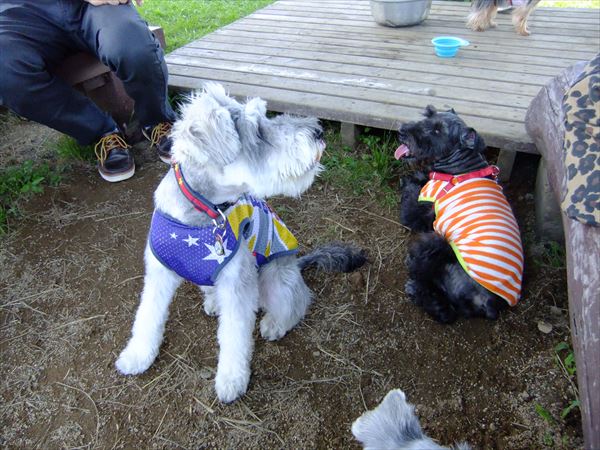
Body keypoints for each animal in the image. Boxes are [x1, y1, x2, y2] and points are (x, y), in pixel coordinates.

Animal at [115, 83, 366, 403]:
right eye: (258, 129)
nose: (318, 131)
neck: (201, 214)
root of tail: (297, 263)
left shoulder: (238, 284)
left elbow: (234, 335)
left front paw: (231, 379)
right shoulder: (159, 274)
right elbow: (147, 315)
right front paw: (137, 356)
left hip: (274, 277)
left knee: (298, 300)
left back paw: (275, 323)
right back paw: (213, 302)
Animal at [396, 105, 523, 324]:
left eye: (438, 130)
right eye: (428, 114)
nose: (402, 131)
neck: (460, 169)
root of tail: (489, 305)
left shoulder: (418, 216)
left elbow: (411, 200)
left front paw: (412, 180)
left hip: (435, 243)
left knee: (443, 309)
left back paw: (415, 287)